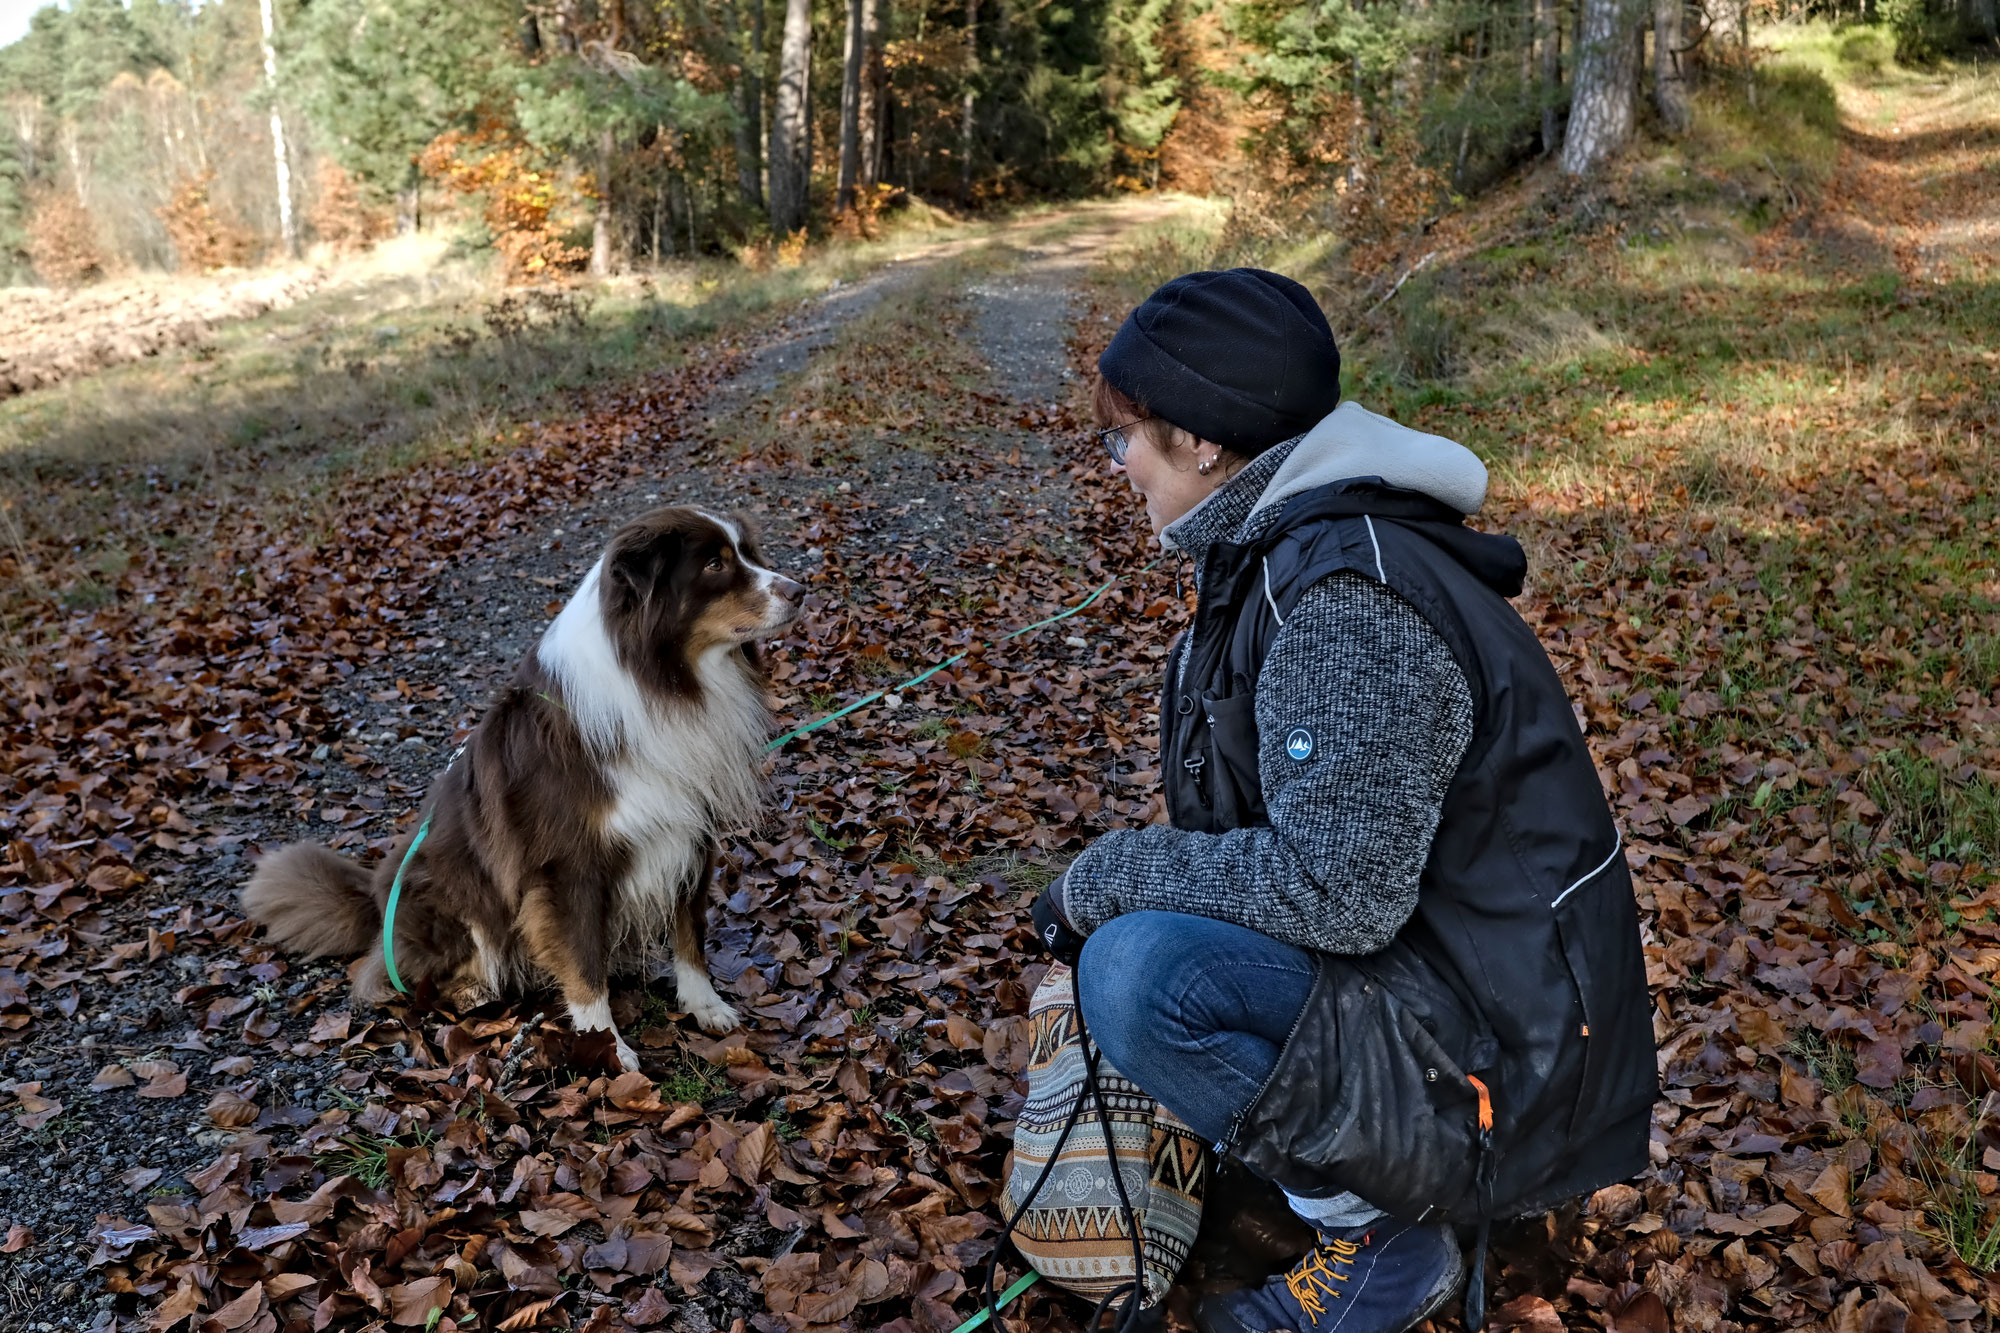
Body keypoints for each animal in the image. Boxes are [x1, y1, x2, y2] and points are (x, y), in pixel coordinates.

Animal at [248, 504, 804, 1064]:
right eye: (714, 564)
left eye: (748, 553)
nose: (799, 588)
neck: (658, 681)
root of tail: (374, 901)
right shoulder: (566, 865)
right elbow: (582, 961)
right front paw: (606, 1047)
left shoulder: (690, 829)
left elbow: (691, 932)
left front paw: (704, 1005)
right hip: (451, 893)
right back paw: (474, 990)